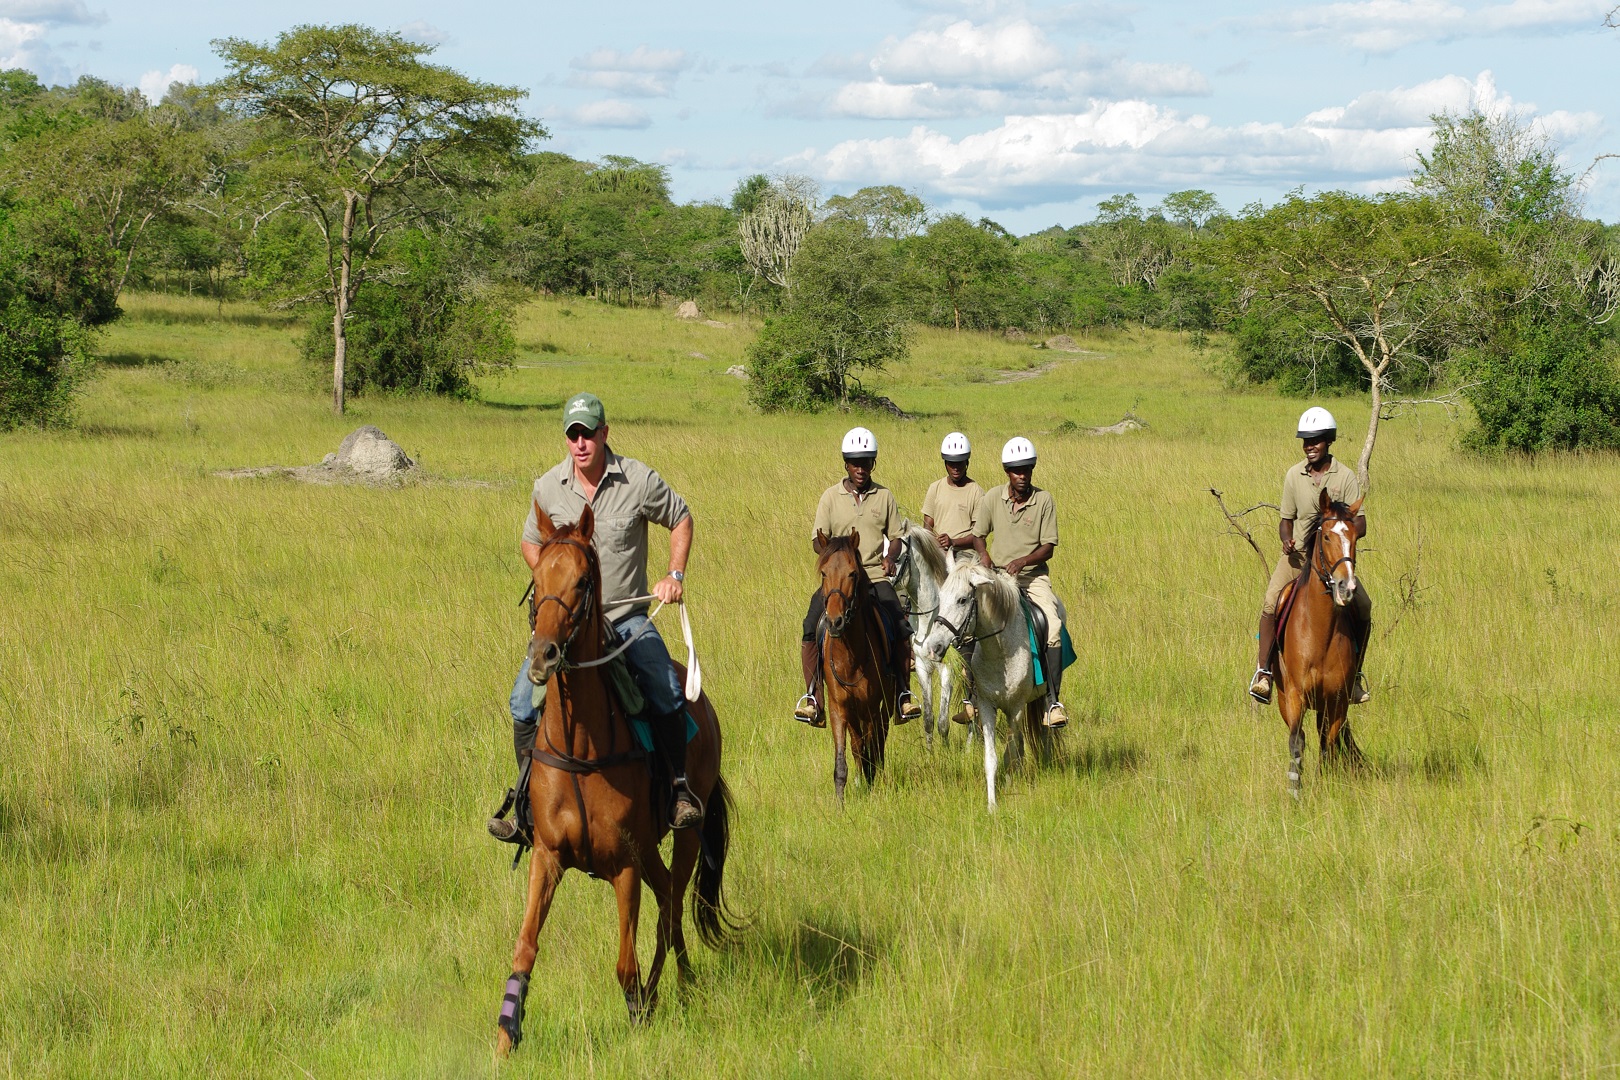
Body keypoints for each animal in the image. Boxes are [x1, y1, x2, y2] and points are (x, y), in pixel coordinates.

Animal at [495, 505, 738, 1055]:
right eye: (537, 580)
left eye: (583, 581)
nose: (542, 656)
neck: (581, 745)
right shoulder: (547, 856)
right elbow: (524, 948)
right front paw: (505, 1036)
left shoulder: (623, 865)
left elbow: (624, 964)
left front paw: (638, 1018)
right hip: (650, 850)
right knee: (667, 897)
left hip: (683, 837)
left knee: (672, 907)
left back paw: (676, 989)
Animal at [816, 531, 907, 803]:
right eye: (823, 573)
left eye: (852, 573)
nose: (835, 622)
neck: (850, 657)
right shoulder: (838, 709)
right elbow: (843, 761)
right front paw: (841, 803)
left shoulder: (870, 708)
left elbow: (871, 750)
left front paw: (869, 785)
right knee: (859, 746)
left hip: (885, 704)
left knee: (878, 740)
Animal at [894, 524, 952, 748]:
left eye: (897, 557)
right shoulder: (921, 666)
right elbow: (928, 718)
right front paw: (931, 751)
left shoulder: (947, 668)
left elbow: (943, 721)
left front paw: (946, 752)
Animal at [920, 566, 1056, 809]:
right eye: (940, 598)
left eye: (962, 600)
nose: (934, 647)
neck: (1000, 651)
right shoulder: (985, 706)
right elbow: (992, 758)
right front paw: (992, 804)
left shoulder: (1016, 707)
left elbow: (1009, 752)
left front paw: (1009, 785)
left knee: (1045, 729)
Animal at [1276, 488, 1367, 793]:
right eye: (1326, 536)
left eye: (1355, 536)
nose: (1346, 587)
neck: (1319, 634)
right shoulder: (1295, 695)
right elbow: (1296, 740)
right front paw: (1295, 789)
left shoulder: (1337, 699)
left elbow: (1329, 743)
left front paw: (1326, 781)